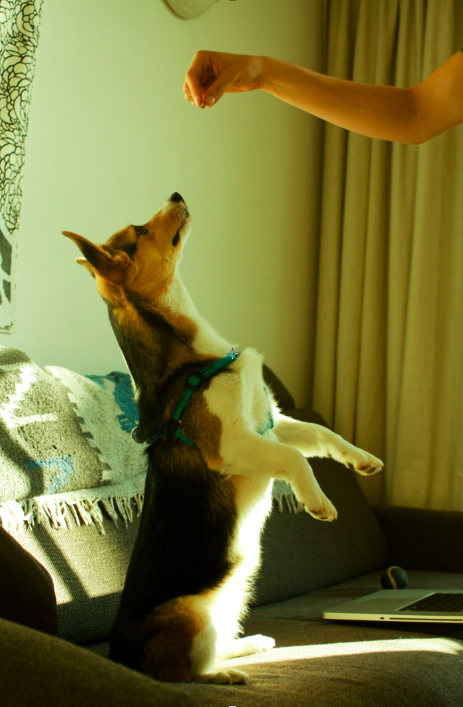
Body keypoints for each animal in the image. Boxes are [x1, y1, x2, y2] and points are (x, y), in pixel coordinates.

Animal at [63, 192, 383, 685]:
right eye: (140, 231)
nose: (176, 194)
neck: (196, 360)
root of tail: (118, 656)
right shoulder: (233, 444)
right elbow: (296, 459)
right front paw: (318, 501)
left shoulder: (270, 420)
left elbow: (320, 434)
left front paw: (361, 458)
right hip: (191, 615)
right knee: (181, 672)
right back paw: (221, 677)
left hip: (231, 601)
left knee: (215, 647)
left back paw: (248, 646)